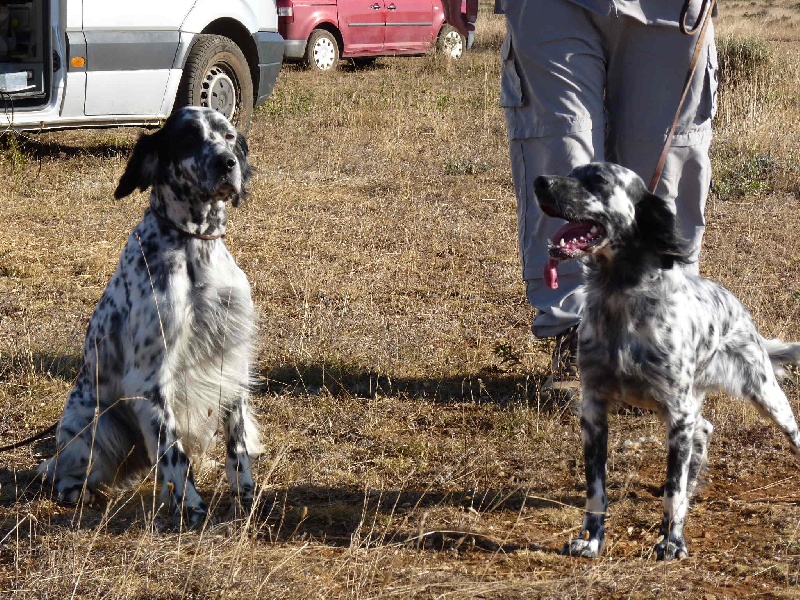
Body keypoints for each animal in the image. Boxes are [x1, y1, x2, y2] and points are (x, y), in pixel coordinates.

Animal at [39, 108, 260, 524]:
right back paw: (76, 492)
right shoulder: (149, 380)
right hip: (92, 427)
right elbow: (175, 455)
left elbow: (236, 443)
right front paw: (192, 509)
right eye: (189, 137)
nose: (228, 163)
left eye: (228, 135)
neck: (194, 244)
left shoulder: (231, 354)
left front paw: (246, 499)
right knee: (66, 473)